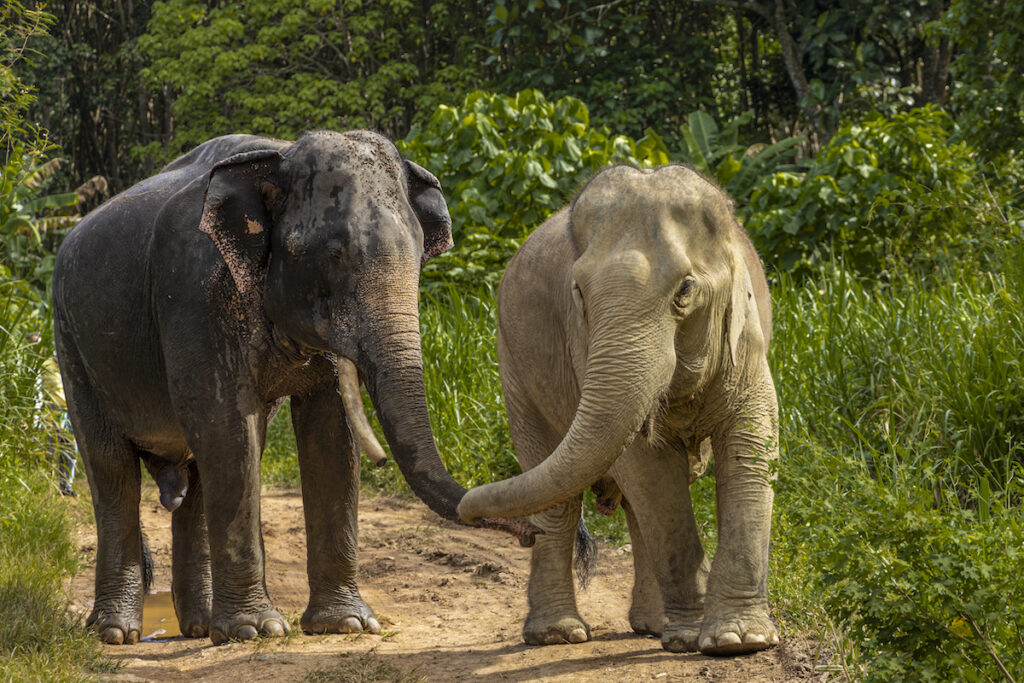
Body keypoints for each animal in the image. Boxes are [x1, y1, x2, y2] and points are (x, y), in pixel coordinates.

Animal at [52, 130, 535, 646]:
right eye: (334, 255)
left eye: (418, 255)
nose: (530, 533)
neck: (278, 154)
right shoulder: (191, 292)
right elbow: (225, 423)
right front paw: (256, 630)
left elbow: (330, 430)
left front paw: (345, 624)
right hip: (71, 346)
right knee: (112, 468)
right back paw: (114, 634)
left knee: (196, 479)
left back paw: (199, 629)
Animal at [457, 164, 780, 655]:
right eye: (578, 292)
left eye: (685, 290)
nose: (467, 510)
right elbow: (649, 470)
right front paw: (692, 639)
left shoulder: (746, 340)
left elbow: (748, 447)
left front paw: (738, 641)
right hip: (514, 369)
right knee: (561, 496)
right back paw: (559, 634)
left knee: (627, 501)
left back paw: (651, 625)